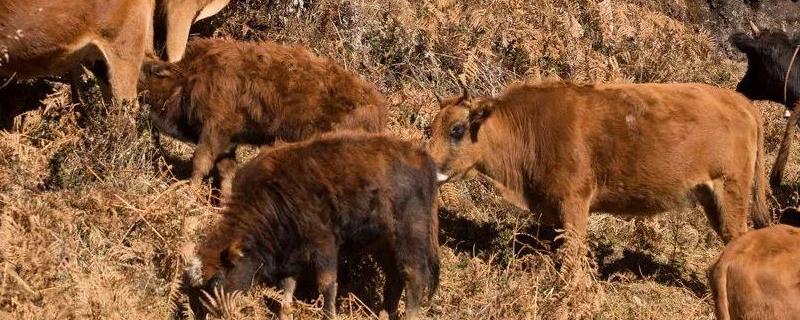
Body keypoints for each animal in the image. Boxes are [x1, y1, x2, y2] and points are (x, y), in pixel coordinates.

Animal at [138, 38, 388, 196]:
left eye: (147, 71)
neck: (189, 75)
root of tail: (376, 106)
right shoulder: (229, 141)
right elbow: (227, 172)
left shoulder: (214, 130)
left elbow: (201, 162)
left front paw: (190, 195)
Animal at [179, 131, 440, 320]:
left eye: (216, 281)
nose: (214, 315)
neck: (272, 197)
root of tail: (422, 157)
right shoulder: (291, 255)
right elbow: (285, 291)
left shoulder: (324, 245)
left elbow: (327, 285)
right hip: (382, 242)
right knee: (395, 277)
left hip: (411, 234)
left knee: (415, 277)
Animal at [428, 81, 772, 274]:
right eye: (431, 128)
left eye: (457, 129)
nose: (429, 166)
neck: (530, 127)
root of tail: (738, 100)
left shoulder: (574, 202)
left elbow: (572, 253)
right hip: (711, 196)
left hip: (731, 191)